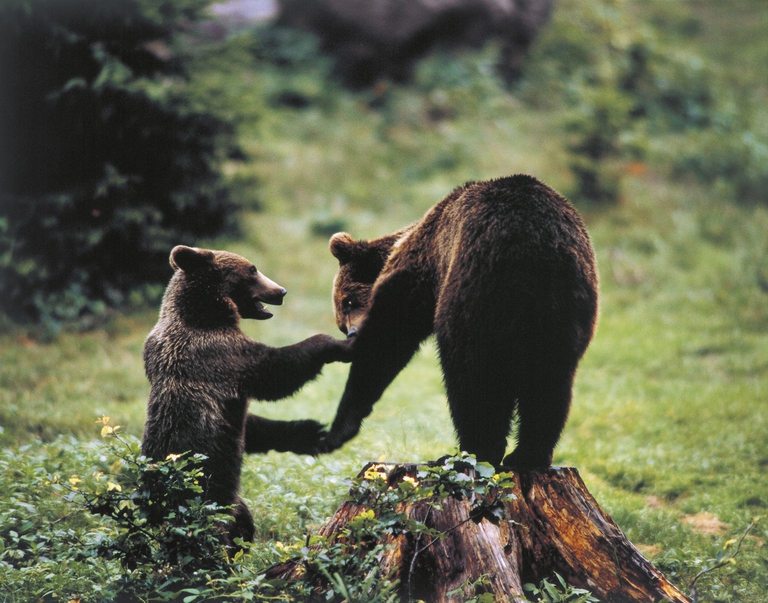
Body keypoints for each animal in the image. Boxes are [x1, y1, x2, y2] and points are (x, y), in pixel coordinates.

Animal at [141, 245, 352, 545]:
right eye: (252, 270)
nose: (281, 291)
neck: (205, 314)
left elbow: (250, 426)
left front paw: (309, 431)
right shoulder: (217, 354)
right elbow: (275, 370)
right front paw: (338, 344)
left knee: (242, 519)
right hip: (205, 497)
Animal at [317, 174, 598, 468]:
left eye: (348, 301)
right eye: (342, 320)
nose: (351, 332)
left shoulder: (423, 268)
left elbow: (390, 335)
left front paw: (340, 426)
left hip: (475, 294)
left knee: (469, 376)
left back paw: (473, 451)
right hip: (566, 308)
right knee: (551, 382)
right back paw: (527, 455)